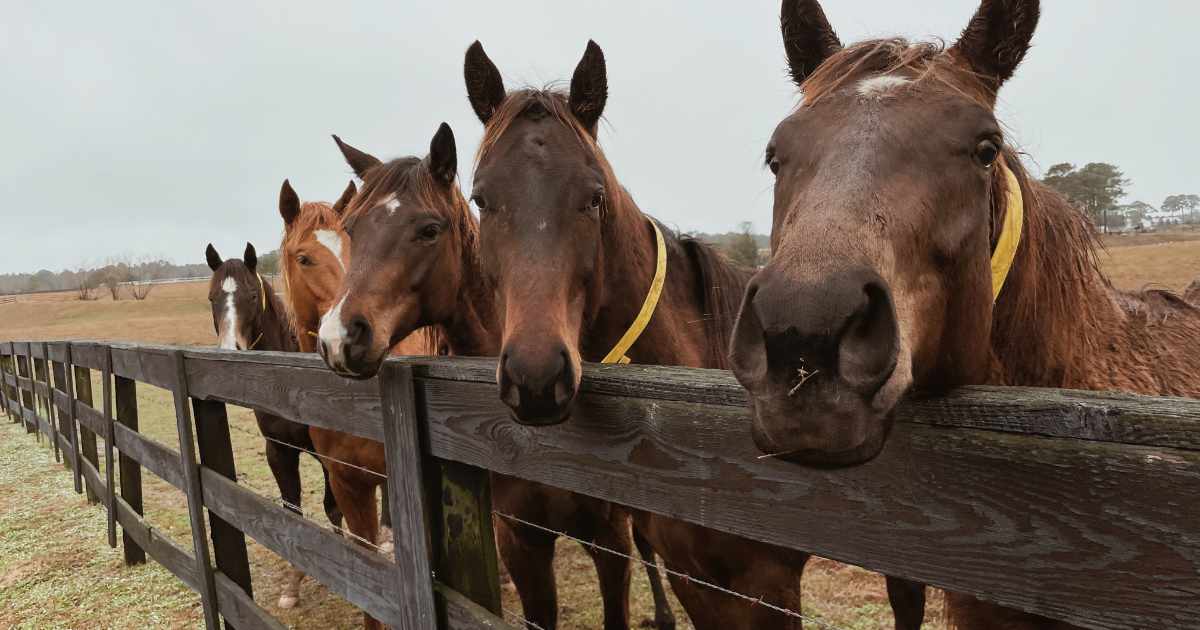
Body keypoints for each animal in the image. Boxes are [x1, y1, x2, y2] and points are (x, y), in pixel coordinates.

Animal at [203, 241, 342, 610]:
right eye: (211, 297)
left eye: (252, 295)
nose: (231, 350)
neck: (285, 379)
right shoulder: (279, 451)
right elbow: (291, 512)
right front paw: (292, 586)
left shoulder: (329, 457)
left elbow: (333, 507)